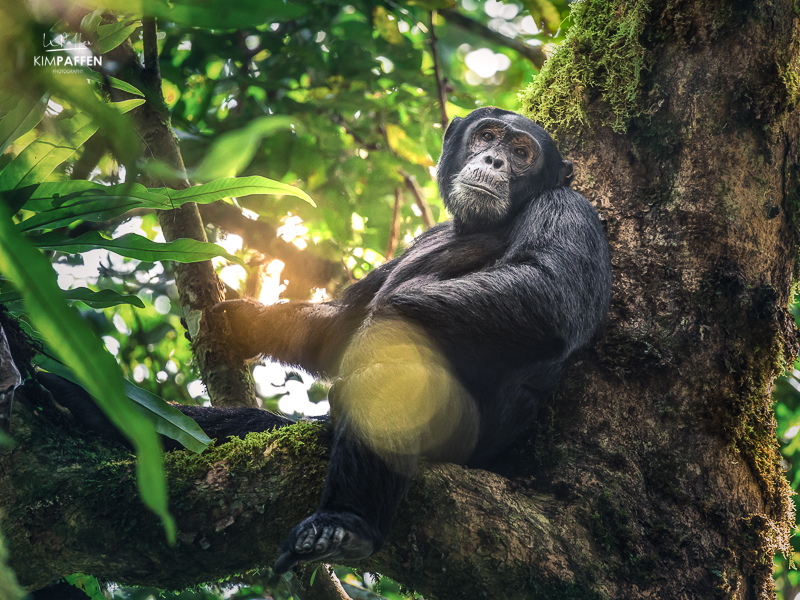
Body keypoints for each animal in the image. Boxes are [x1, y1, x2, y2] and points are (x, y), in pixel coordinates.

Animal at [39, 106, 612, 572]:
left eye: (521, 152)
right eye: (488, 136)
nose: (494, 160)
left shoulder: (570, 212)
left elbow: (545, 291)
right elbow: (340, 325)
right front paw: (243, 322)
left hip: (459, 440)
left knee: (394, 378)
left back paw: (344, 525)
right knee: (239, 429)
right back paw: (88, 406)